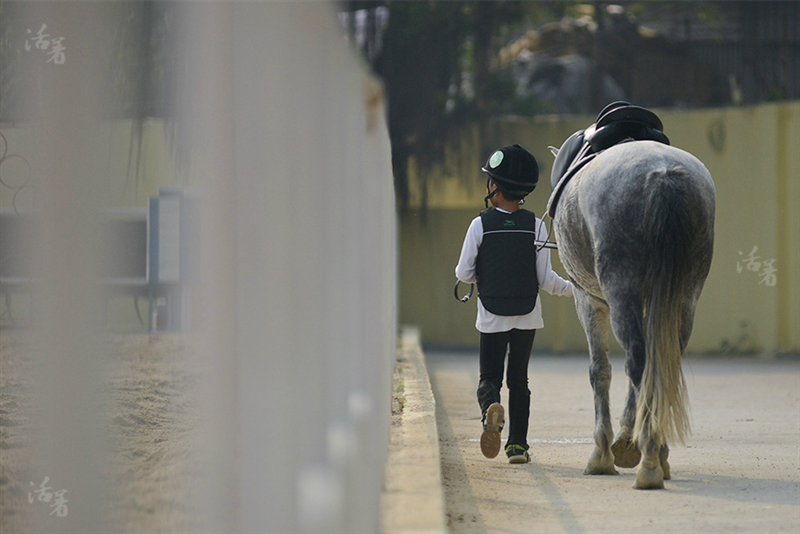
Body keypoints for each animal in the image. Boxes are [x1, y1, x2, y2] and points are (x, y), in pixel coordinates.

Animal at [549, 138, 715, 489]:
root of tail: (663, 174)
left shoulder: (588, 300)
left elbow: (600, 370)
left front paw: (603, 454)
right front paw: (627, 439)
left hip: (620, 288)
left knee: (638, 361)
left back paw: (649, 461)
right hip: (686, 294)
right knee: (662, 363)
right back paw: (658, 453)